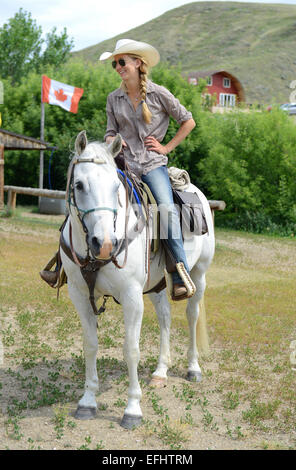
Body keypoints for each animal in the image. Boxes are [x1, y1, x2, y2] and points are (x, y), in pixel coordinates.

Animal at [59, 130, 215, 428]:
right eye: (79, 185)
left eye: (115, 187)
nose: (105, 244)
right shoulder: (79, 294)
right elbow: (90, 345)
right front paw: (87, 402)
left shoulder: (132, 297)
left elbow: (131, 349)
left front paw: (132, 409)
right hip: (156, 284)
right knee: (165, 317)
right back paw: (160, 372)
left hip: (198, 275)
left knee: (192, 315)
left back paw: (193, 368)